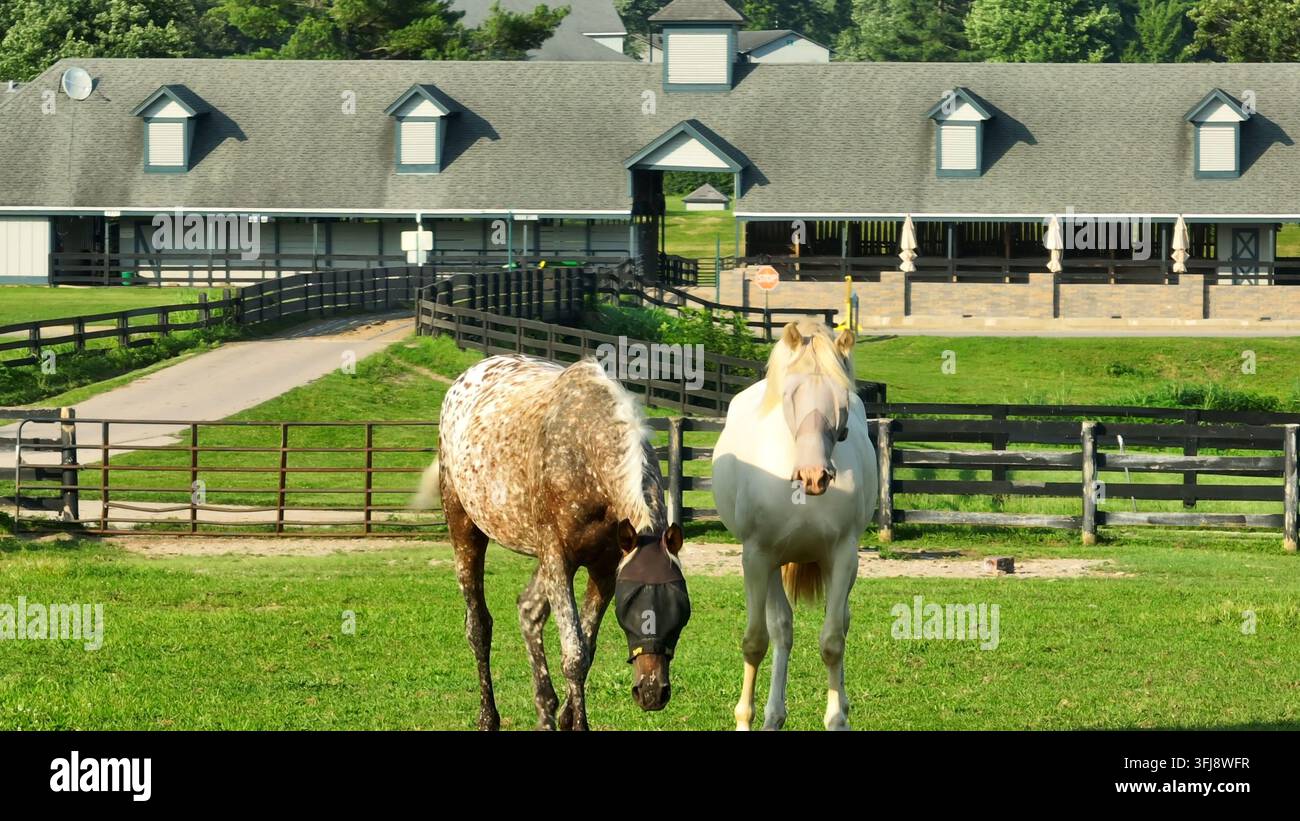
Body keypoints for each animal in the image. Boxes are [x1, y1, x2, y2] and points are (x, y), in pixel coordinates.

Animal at [421, 354, 691, 731]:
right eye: (630, 605)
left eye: (681, 607)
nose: (652, 692)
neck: (584, 451)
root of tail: (465, 379)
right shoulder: (559, 558)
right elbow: (574, 653)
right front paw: (577, 722)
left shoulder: (604, 568)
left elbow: (585, 649)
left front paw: (565, 716)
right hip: (466, 529)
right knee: (478, 627)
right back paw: (488, 717)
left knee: (529, 611)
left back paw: (545, 712)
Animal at [712, 320, 877, 730]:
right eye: (791, 393)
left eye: (843, 397)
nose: (814, 476)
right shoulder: (757, 557)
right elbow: (756, 641)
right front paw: (744, 719)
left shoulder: (843, 557)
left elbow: (833, 641)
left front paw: (837, 717)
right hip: (771, 567)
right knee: (781, 630)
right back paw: (772, 715)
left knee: (837, 623)